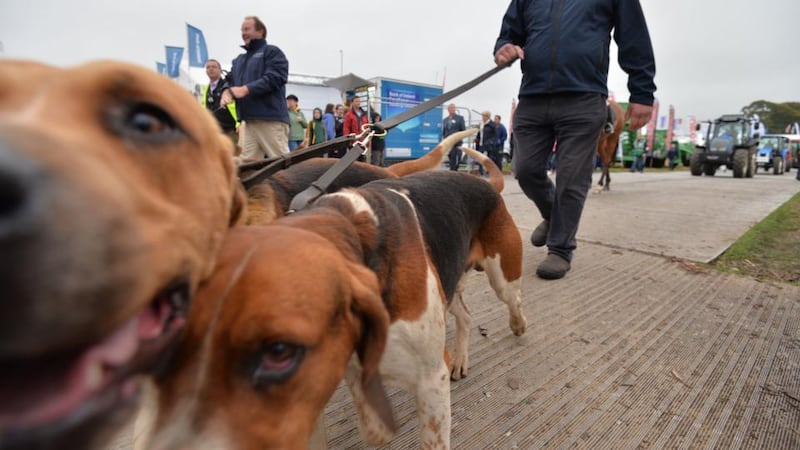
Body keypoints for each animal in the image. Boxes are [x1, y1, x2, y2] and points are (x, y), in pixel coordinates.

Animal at [145, 146, 528, 448]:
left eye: (279, 351)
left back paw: (517, 325)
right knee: (464, 314)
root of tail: (486, 184)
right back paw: (462, 358)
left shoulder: (431, 379)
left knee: (513, 301)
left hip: (501, 275)